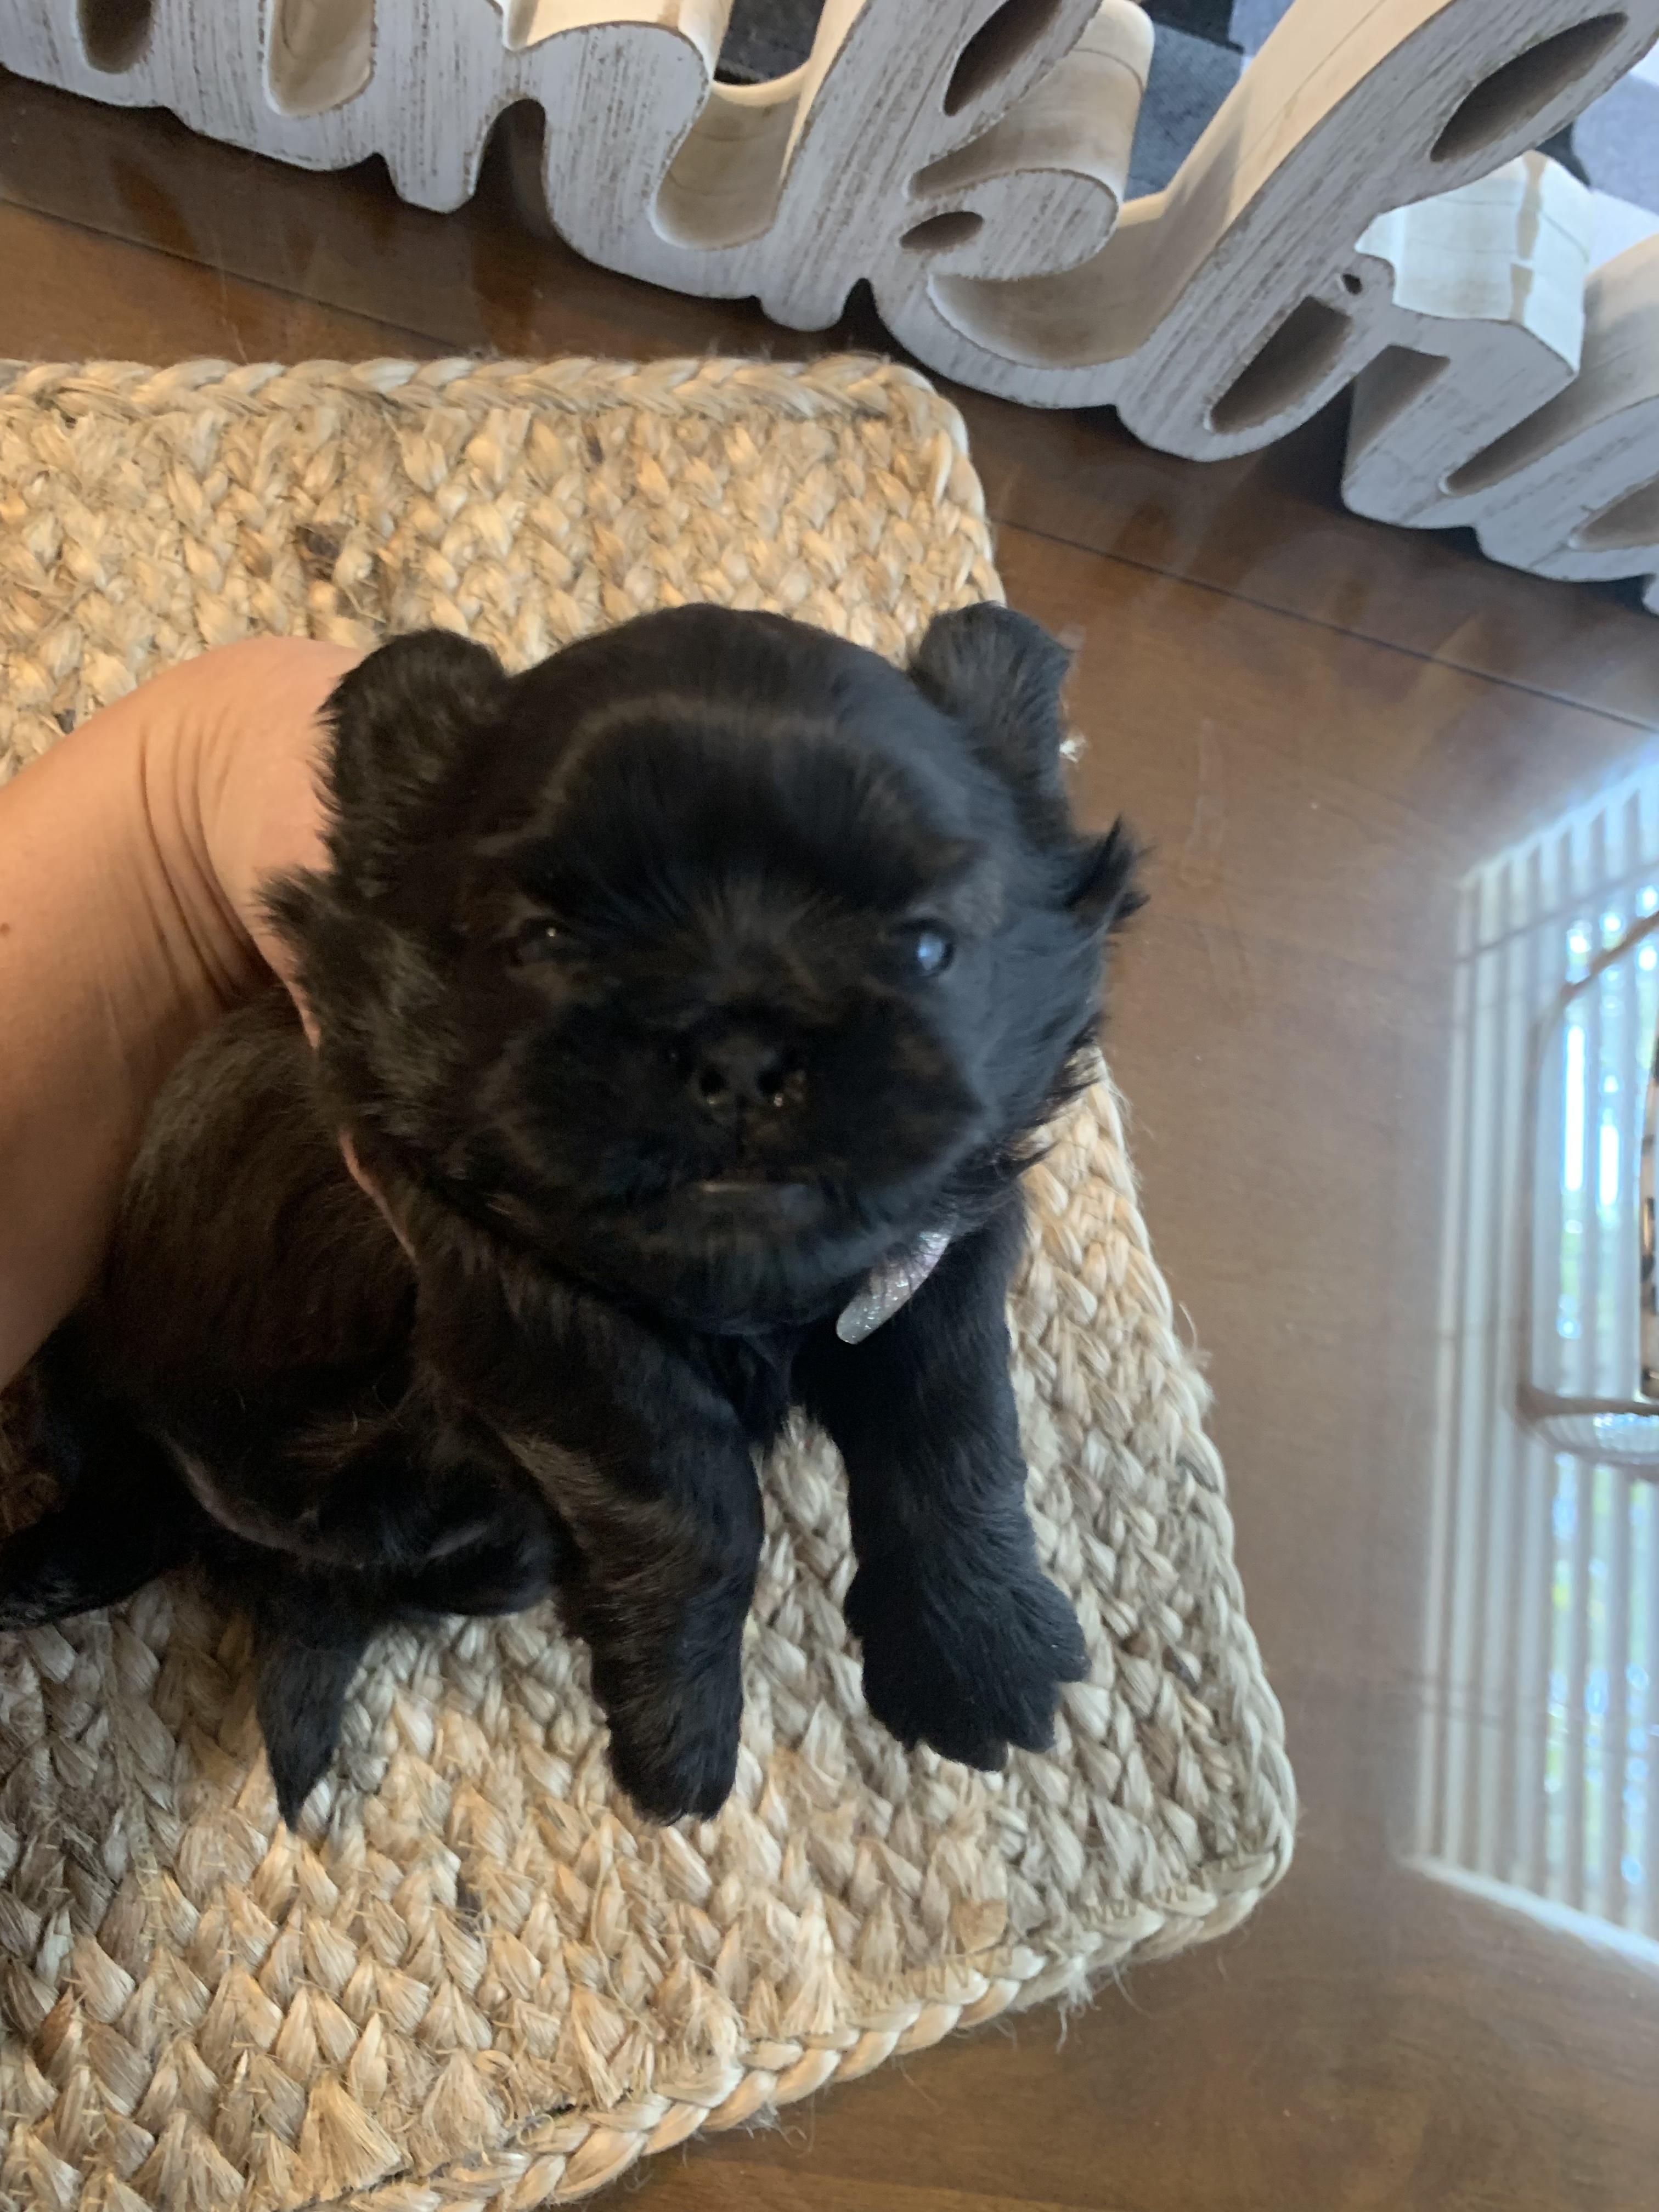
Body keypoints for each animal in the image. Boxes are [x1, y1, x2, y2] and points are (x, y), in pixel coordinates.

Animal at [4, 604, 1141, 1825]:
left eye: (927, 946)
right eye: (547, 940)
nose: (740, 1055)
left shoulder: (945, 1247)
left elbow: (955, 1420)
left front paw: (978, 1654)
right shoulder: (498, 1280)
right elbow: (691, 1480)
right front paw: (676, 1739)